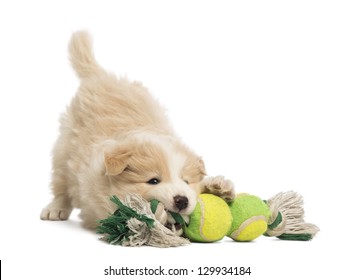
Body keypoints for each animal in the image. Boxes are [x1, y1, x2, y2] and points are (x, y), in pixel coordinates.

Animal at [40, 30, 235, 229]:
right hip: (64, 149)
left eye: (186, 181)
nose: (182, 200)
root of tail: (100, 76)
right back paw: (55, 209)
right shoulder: (97, 198)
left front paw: (219, 187)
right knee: (62, 183)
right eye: (153, 181)